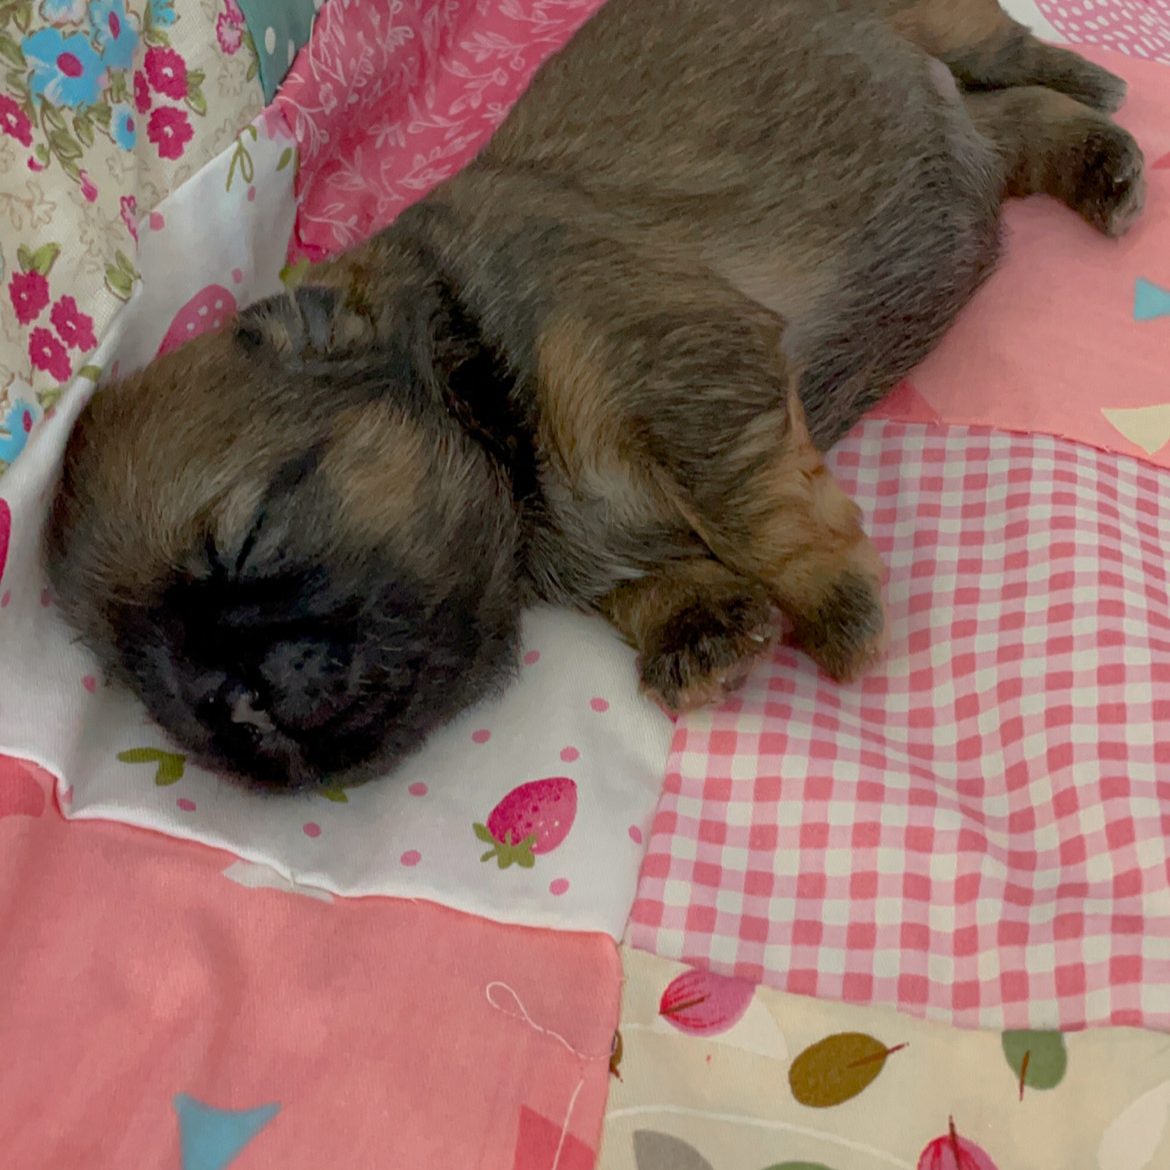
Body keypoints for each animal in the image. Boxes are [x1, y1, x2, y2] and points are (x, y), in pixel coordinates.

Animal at [43, 0, 1141, 795]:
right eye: (149, 682)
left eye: (250, 537)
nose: (230, 706)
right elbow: (644, 581)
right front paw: (699, 629)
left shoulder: (677, 364)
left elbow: (752, 508)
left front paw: (835, 605)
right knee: (1001, 125)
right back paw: (1090, 157)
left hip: (937, 25)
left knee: (1012, 60)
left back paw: (1105, 113)